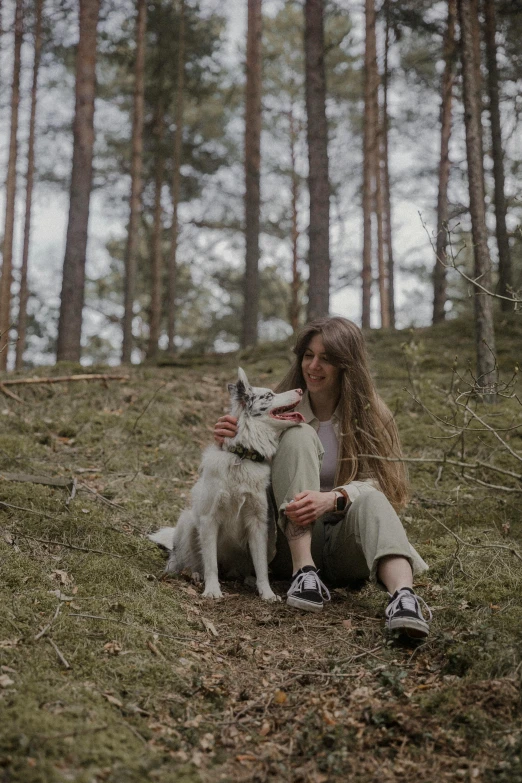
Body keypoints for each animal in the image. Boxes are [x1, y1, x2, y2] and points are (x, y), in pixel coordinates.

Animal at [147, 370, 300, 604]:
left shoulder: (258, 522)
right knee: (184, 561)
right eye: (269, 395)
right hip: (188, 522)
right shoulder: (209, 520)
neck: (242, 457)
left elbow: (261, 566)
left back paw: (247, 579)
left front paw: (267, 592)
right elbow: (210, 563)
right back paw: (194, 574)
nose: (300, 389)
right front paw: (212, 590)